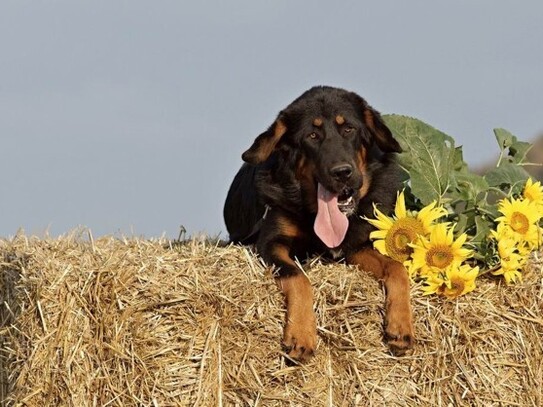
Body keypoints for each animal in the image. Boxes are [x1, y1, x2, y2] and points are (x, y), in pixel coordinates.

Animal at [223, 86, 414, 360]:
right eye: (312, 135)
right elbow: (298, 277)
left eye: (349, 129)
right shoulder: (271, 244)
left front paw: (400, 325)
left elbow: (396, 268)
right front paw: (301, 334)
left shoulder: (355, 247)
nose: (342, 172)